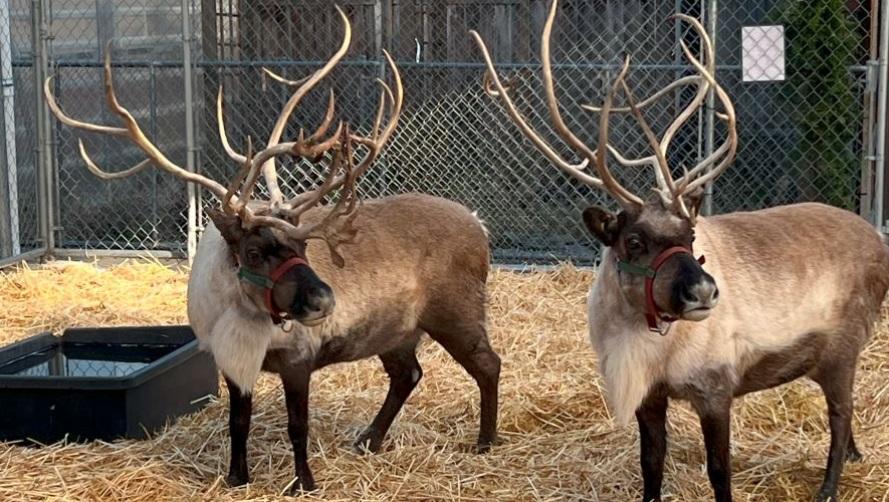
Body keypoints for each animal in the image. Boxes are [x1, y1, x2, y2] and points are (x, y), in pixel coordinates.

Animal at [44, 6, 501, 494]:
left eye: (303, 243)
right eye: (255, 251)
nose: (324, 300)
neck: (236, 312)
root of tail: (479, 223)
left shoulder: (298, 359)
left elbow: (297, 426)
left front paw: (304, 483)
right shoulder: (232, 364)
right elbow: (238, 424)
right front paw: (236, 477)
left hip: (456, 312)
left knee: (487, 364)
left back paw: (485, 441)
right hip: (395, 329)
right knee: (408, 374)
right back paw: (370, 439)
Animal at [473, 1, 889, 501]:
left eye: (689, 235)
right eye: (634, 241)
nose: (705, 292)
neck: (641, 338)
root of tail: (876, 238)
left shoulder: (715, 389)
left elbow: (719, 470)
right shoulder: (649, 396)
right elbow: (651, 463)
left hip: (843, 346)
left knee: (841, 413)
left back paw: (828, 487)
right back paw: (856, 456)